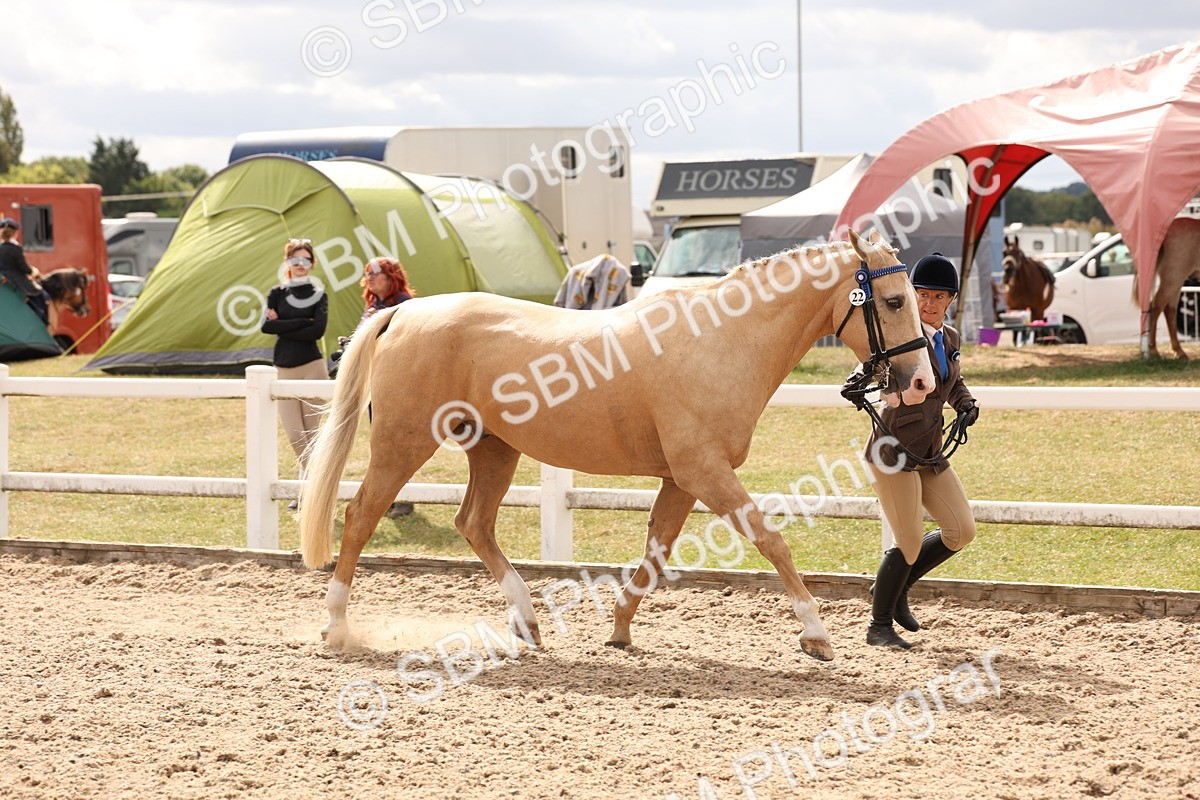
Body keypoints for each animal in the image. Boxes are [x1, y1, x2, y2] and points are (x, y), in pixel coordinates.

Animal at [299, 230, 935, 663]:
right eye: (893, 301)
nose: (923, 382)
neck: (721, 340)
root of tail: (403, 310)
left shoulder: (681, 480)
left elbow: (656, 552)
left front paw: (620, 629)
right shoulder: (705, 473)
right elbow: (771, 539)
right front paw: (816, 634)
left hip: (494, 449)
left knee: (473, 522)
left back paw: (527, 623)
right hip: (404, 444)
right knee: (360, 515)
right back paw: (335, 627)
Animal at [1139, 217, 1200, 359]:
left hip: (1176, 281)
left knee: (1169, 309)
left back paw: (1179, 351)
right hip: (1174, 276)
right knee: (1156, 306)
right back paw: (1153, 350)